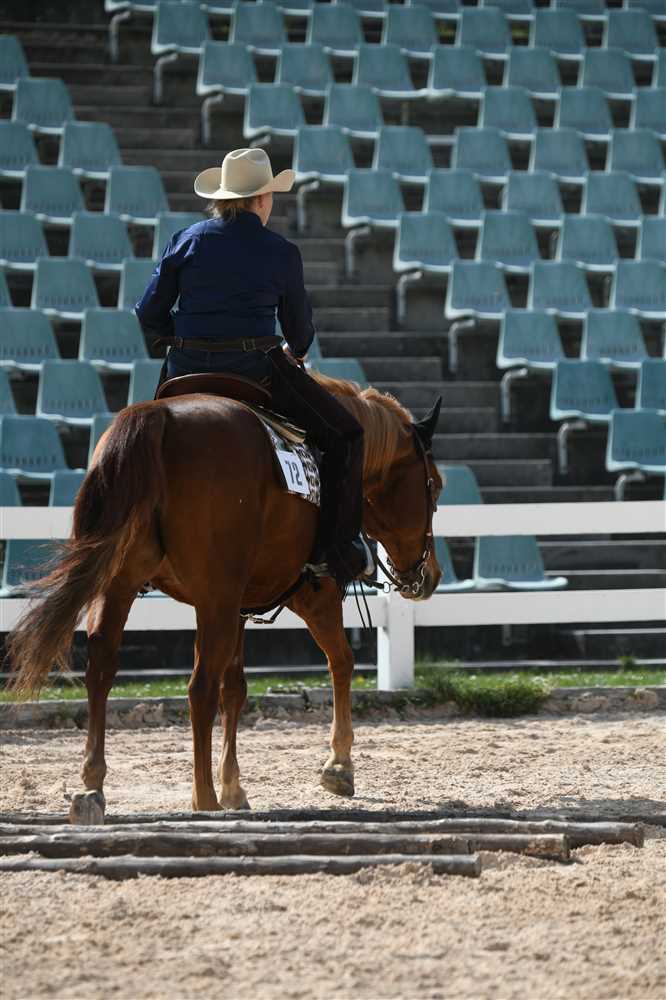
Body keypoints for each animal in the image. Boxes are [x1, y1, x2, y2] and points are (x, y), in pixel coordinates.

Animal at [7, 373, 443, 812]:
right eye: (435, 488)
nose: (430, 575)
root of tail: (155, 418)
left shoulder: (239, 605)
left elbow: (235, 688)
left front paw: (234, 786)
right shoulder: (312, 596)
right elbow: (341, 661)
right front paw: (338, 765)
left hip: (119, 588)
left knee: (102, 668)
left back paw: (94, 785)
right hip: (213, 601)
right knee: (200, 686)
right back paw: (203, 797)